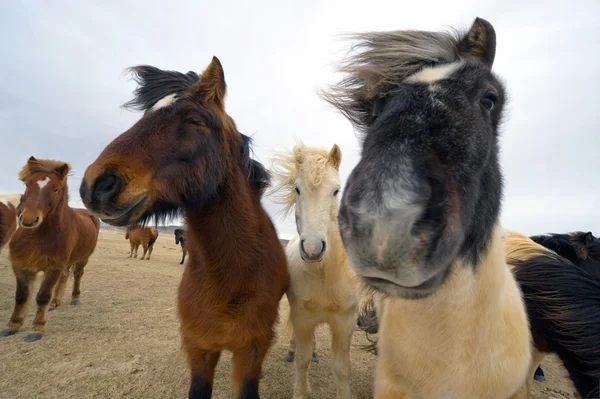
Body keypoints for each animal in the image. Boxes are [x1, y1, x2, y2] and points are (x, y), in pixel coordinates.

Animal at [0, 158, 100, 342]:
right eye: (27, 184)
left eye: (56, 189)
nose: (29, 219)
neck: (38, 237)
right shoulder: (22, 267)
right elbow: (21, 296)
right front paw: (13, 325)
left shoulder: (53, 268)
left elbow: (42, 296)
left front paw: (37, 328)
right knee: (65, 277)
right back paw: (55, 302)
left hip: (83, 258)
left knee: (77, 275)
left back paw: (75, 298)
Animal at [270, 144, 358, 399]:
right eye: (297, 189)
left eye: (336, 191)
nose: (312, 249)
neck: (325, 275)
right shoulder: (302, 318)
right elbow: (302, 360)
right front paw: (301, 392)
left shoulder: (345, 322)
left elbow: (342, 369)